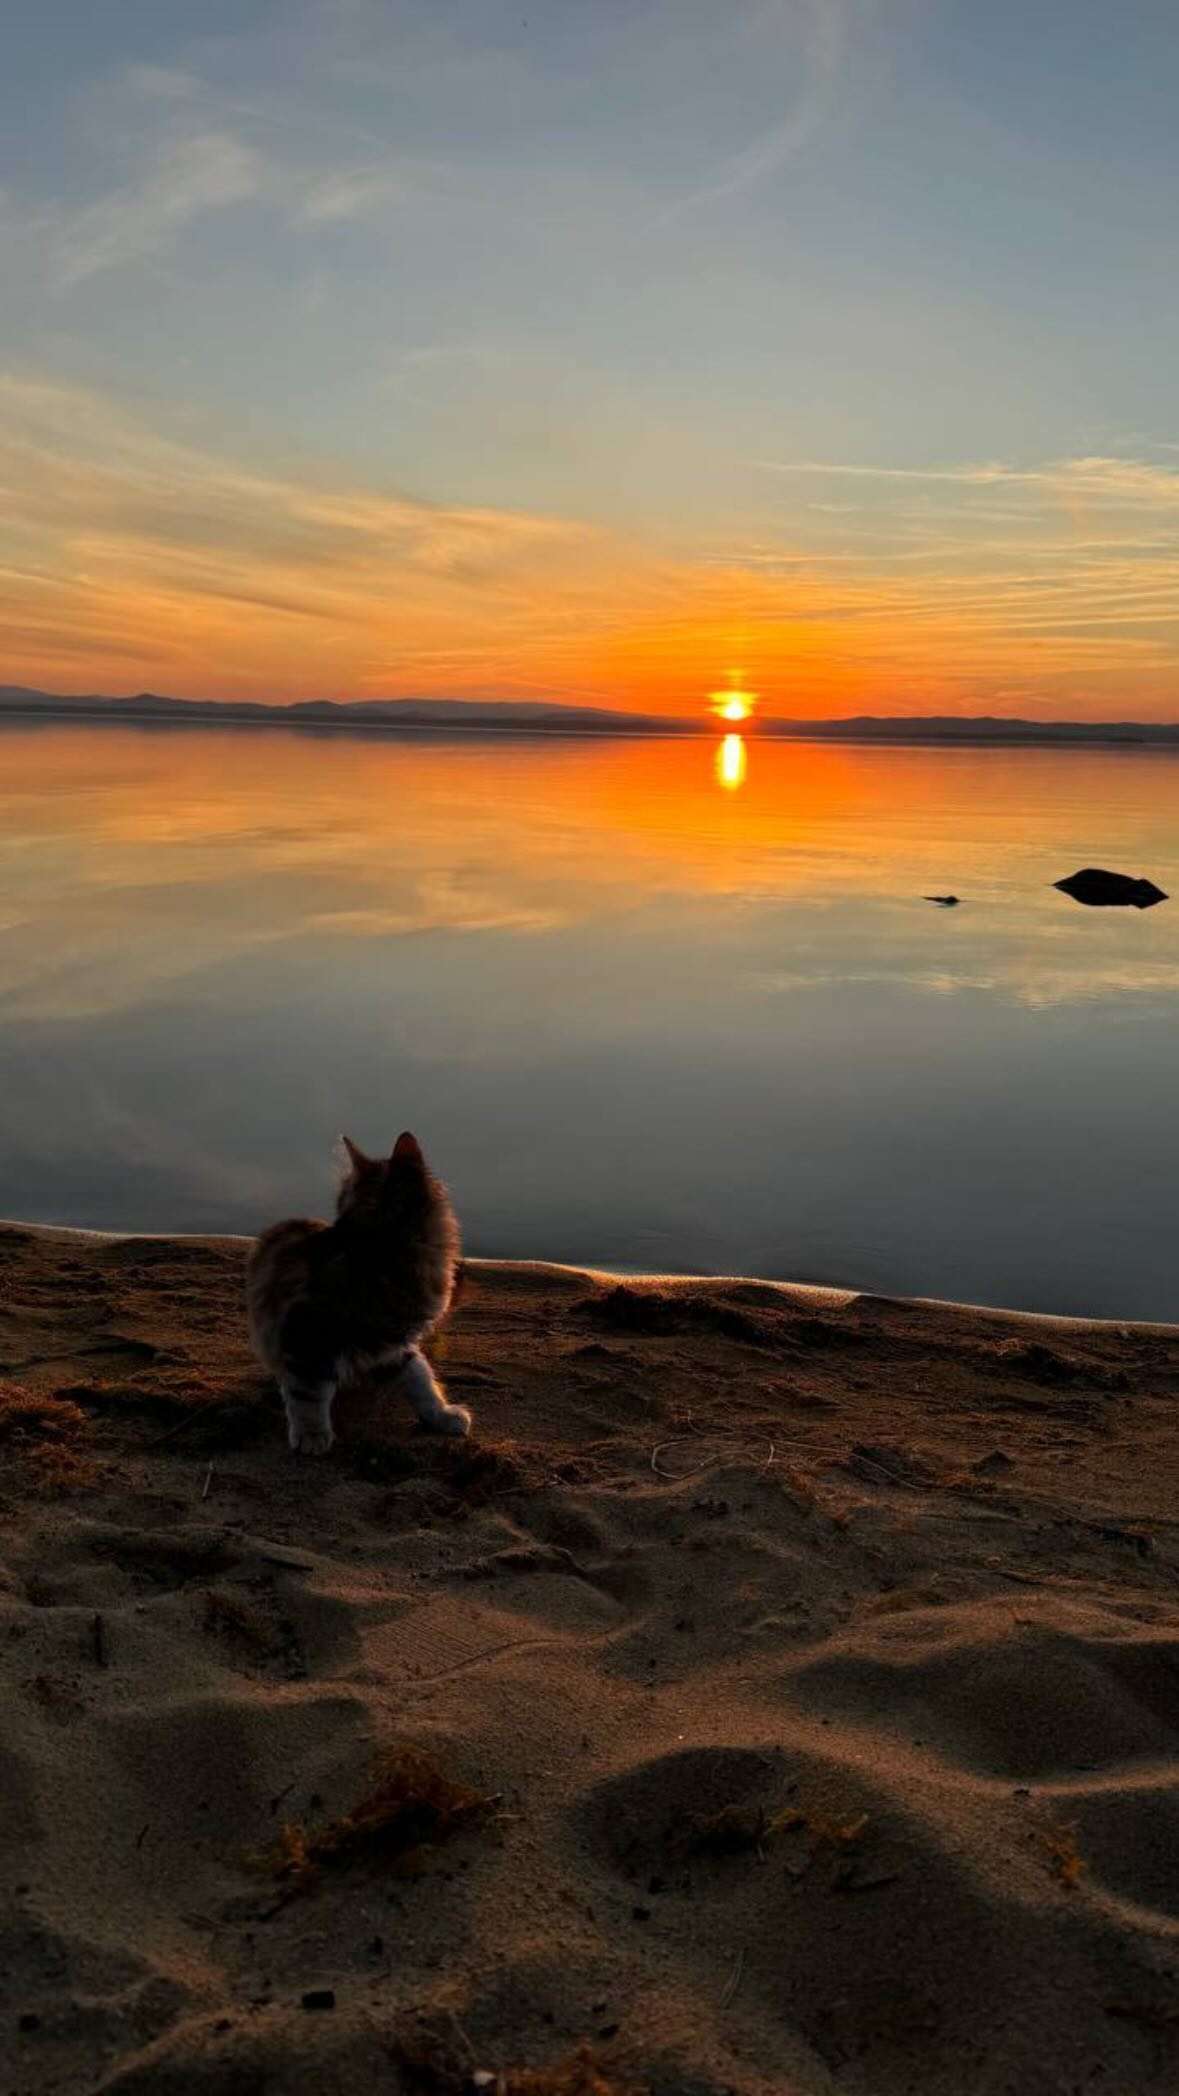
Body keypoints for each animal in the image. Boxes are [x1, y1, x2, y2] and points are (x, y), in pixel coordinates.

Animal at [246, 1131, 467, 1458]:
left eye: (340, 1200)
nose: (335, 1221)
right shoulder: (307, 1330)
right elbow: (307, 1394)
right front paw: (312, 1434)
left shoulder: (394, 1344)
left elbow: (421, 1380)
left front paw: (441, 1414)